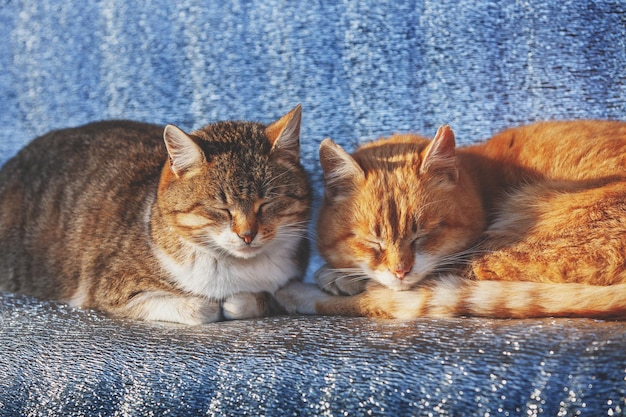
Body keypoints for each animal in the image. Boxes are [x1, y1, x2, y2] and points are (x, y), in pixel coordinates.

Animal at [0, 105, 310, 324]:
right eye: (221, 209)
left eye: (266, 203)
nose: (247, 235)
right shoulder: (108, 286)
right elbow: (197, 307)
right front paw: (208, 304)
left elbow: (266, 298)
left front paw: (242, 301)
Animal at [276, 119, 624, 318]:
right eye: (372, 242)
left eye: (423, 235)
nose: (401, 271)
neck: (481, 180)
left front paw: (338, 276)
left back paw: (300, 292)